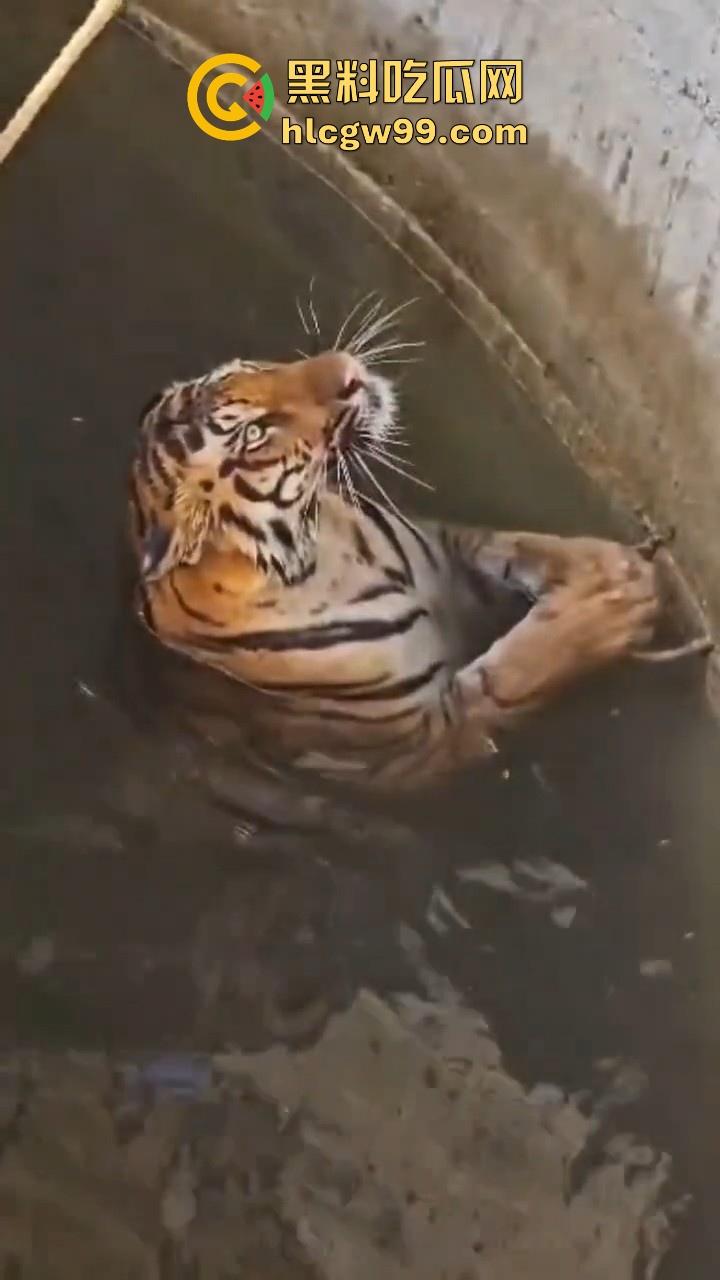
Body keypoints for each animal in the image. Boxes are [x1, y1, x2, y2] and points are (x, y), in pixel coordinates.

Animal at [128, 333, 665, 788]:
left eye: (252, 368)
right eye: (256, 434)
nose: (348, 372)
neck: (330, 545)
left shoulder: (446, 549)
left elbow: (513, 545)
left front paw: (610, 565)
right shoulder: (422, 737)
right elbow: (517, 674)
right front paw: (611, 610)